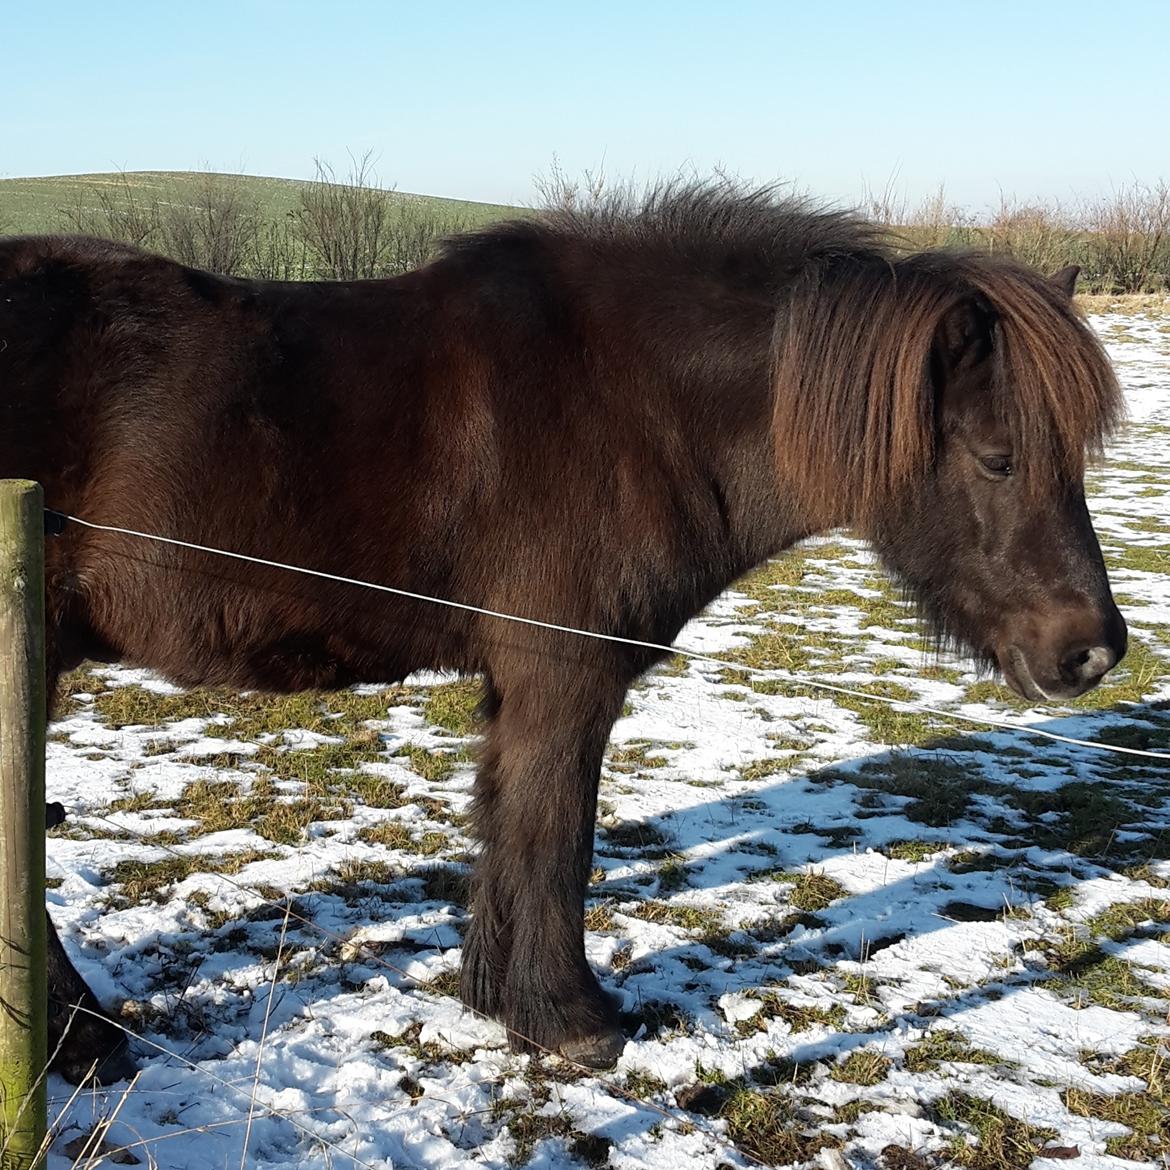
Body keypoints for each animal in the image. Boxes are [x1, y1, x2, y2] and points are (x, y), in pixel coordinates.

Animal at [4, 184, 1127, 1076]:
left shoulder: (520, 685)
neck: (632, 400)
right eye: (995, 457)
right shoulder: (565, 676)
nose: (1094, 650)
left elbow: (512, 830)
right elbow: (558, 837)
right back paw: (81, 1041)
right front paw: (569, 1019)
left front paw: (499, 1000)